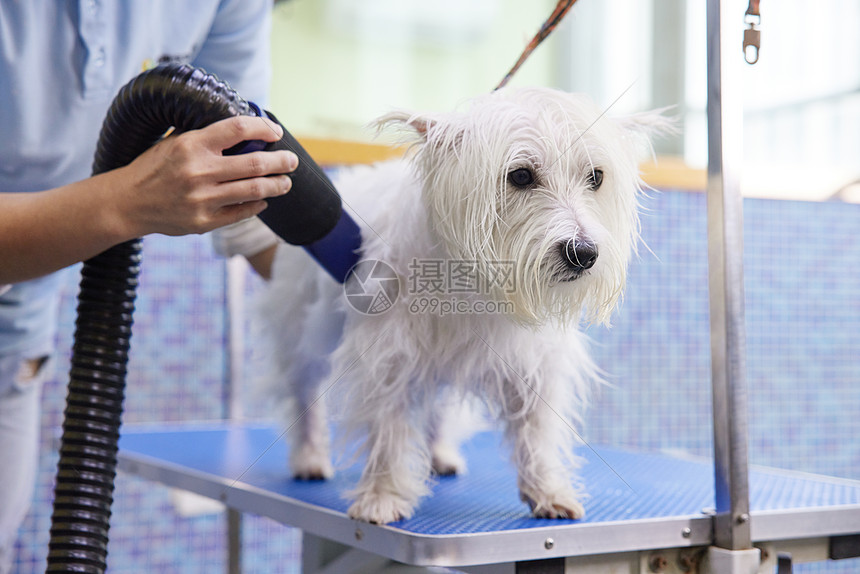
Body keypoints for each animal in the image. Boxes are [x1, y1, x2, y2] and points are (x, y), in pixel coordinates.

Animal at [254, 89, 664, 528]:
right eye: (520, 176)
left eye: (595, 177)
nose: (583, 254)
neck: (477, 284)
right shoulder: (389, 353)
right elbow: (387, 427)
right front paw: (382, 496)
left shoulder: (534, 361)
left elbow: (536, 429)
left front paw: (547, 491)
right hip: (300, 335)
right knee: (305, 394)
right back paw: (310, 457)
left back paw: (440, 455)